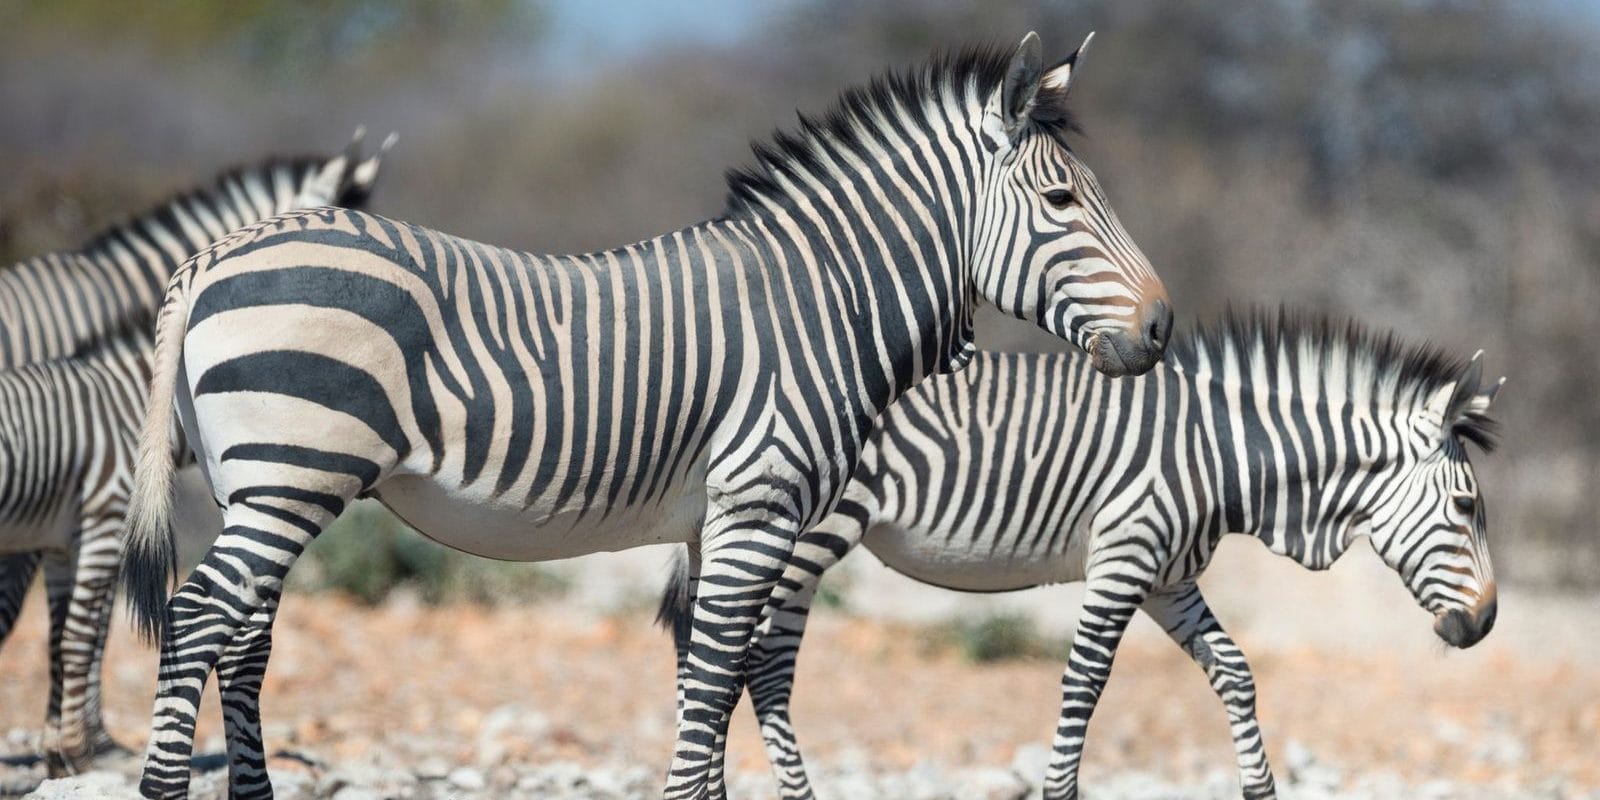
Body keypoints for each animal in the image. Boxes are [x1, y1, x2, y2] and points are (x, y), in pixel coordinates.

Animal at [0, 135, 391, 776]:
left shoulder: (62, 523)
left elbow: (71, 631)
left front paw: (75, 744)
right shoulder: (77, 512)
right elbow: (83, 630)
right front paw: (88, 745)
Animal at [118, 32, 1173, 799]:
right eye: (1061, 199)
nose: (1163, 327)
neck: (825, 302)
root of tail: (215, 254)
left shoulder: (716, 523)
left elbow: (706, 673)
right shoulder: (759, 506)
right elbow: (714, 676)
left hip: (256, 483)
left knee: (243, 636)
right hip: (290, 474)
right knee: (199, 615)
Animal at [659, 310, 1503, 800]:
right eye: (1467, 507)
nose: (1486, 626)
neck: (1224, 457)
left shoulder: (1169, 580)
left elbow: (1235, 673)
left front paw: (1261, 790)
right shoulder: (1125, 559)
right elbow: (1084, 687)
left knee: (742, 665)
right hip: (807, 535)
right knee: (739, 662)